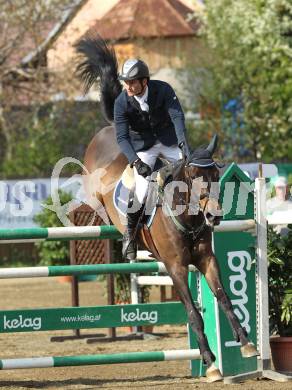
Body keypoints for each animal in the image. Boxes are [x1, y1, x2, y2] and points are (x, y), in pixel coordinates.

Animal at [76, 33, 258, 380]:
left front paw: (246, 344)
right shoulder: (175, 267)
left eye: (216, 176)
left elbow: (225, 299)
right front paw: (211, 363)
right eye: (193, 177)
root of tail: (107, 130)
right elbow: (193, 313)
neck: (187, 218)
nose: (214, 215)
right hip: (99, 179)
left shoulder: (207, 260)